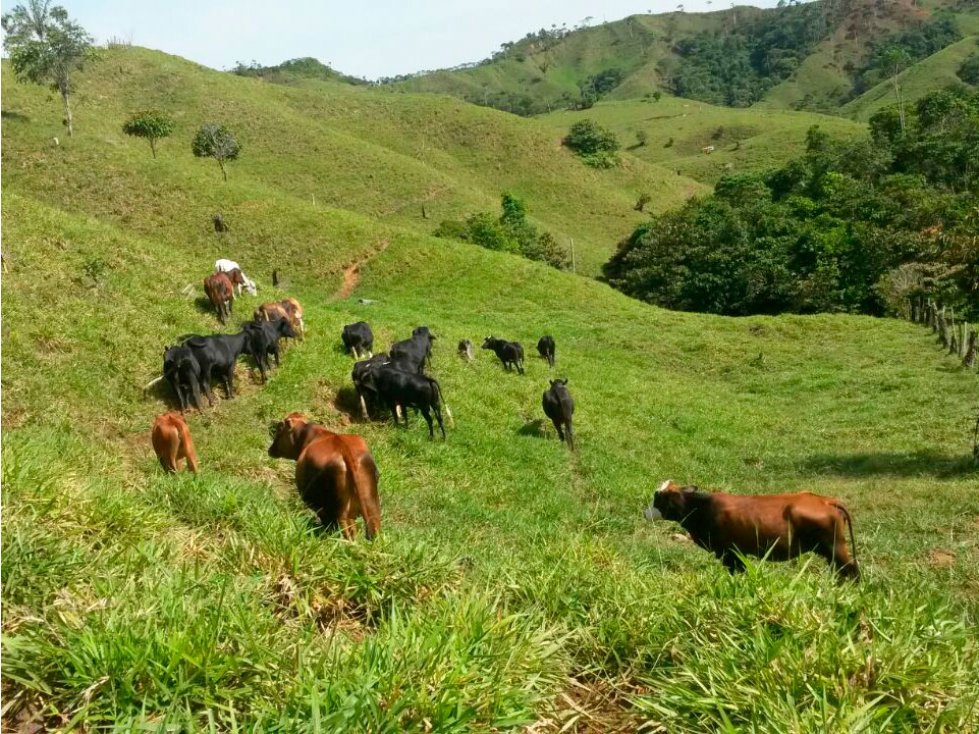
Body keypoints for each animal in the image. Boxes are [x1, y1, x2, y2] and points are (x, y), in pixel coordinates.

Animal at [648, 480, 860, 584]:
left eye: (656, 498)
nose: (645, 512)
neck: (703, 508)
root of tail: (824, 500)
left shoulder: (728, 553)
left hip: (835, 547)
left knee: (852, 571)